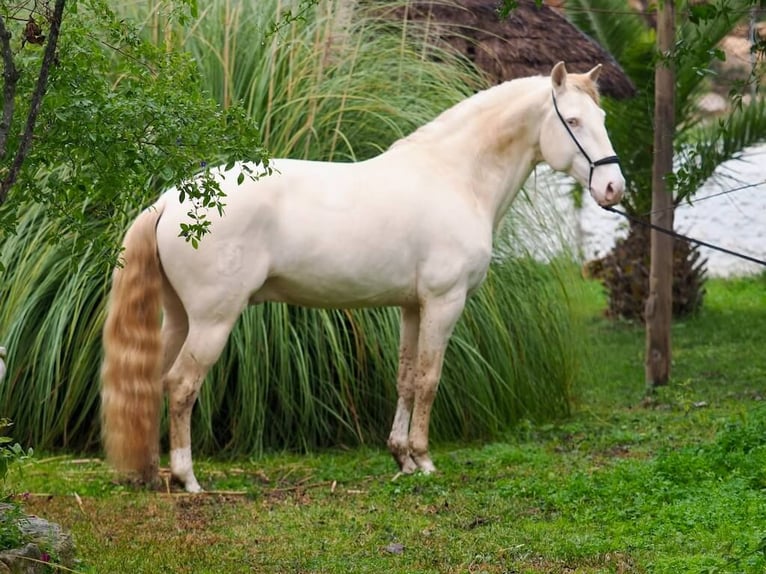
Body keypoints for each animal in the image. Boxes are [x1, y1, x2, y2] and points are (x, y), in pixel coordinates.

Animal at [102, 63, 628, 496]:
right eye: (573, 122)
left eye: (603, 119)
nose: (613, 188)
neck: (455, 177)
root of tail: (171, 198)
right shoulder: (444, 302)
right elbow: (430, 379)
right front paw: (424, 459)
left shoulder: (412, 306)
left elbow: (406, 378)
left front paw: (402, 458)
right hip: (214, 320)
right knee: (181, 386)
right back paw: (188, 479)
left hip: (178, 318)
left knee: (149, 385)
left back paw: (151, 472)